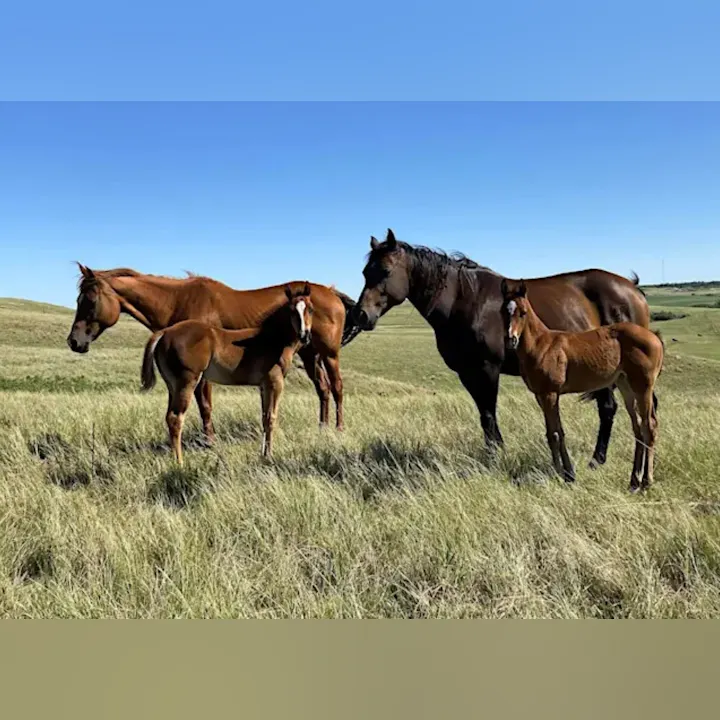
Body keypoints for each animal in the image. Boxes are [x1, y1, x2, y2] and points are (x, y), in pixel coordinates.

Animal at [68, 265, 363, 440]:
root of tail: (333, 294)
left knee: (336, 387)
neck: (179, 301)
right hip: (310, 354)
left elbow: (205, 405)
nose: (74, 341)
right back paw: (322, 428)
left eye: (90, 300)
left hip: (329, 354)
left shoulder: (203, 373)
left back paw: (338, 429)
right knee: (323, 389)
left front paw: (209, 440)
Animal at [141, 284, 314, 464]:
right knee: (176, 418)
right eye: (292, 311)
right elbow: (271, 418)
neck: (274, 339)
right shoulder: (275, 382)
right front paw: (269, 456)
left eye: (311, 309)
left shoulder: (263, 386)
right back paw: (180, 463)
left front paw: (263, 454)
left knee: (169, 417)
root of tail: (165, 333)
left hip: (172, 386)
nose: (305, 336)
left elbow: (264, 416)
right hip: (187, 381)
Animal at [353, 229, 651, 468]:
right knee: (611, 408)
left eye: (386, 272)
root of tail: (633, 289)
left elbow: (489, 415)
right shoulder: (467, 373)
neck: (464, 300)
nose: (361, 315)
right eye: (365, 273)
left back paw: (598, 461)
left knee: (611, 409)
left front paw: (496, 459)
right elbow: (485, 417)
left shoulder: (487, 369)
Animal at [501, 279, 663, 491]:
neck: (541, 344)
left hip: (642, 386)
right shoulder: (540, 395)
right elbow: (552, 432)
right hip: (625, 385)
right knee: (637, 427)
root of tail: (654, 338)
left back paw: (646, 481)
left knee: (649, 425)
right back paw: (634, 480)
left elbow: (555, 433)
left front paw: (564, 474)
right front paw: (565, 473)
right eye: (503, 310)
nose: (511, 340)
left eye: (523, 312)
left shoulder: (550, 394)